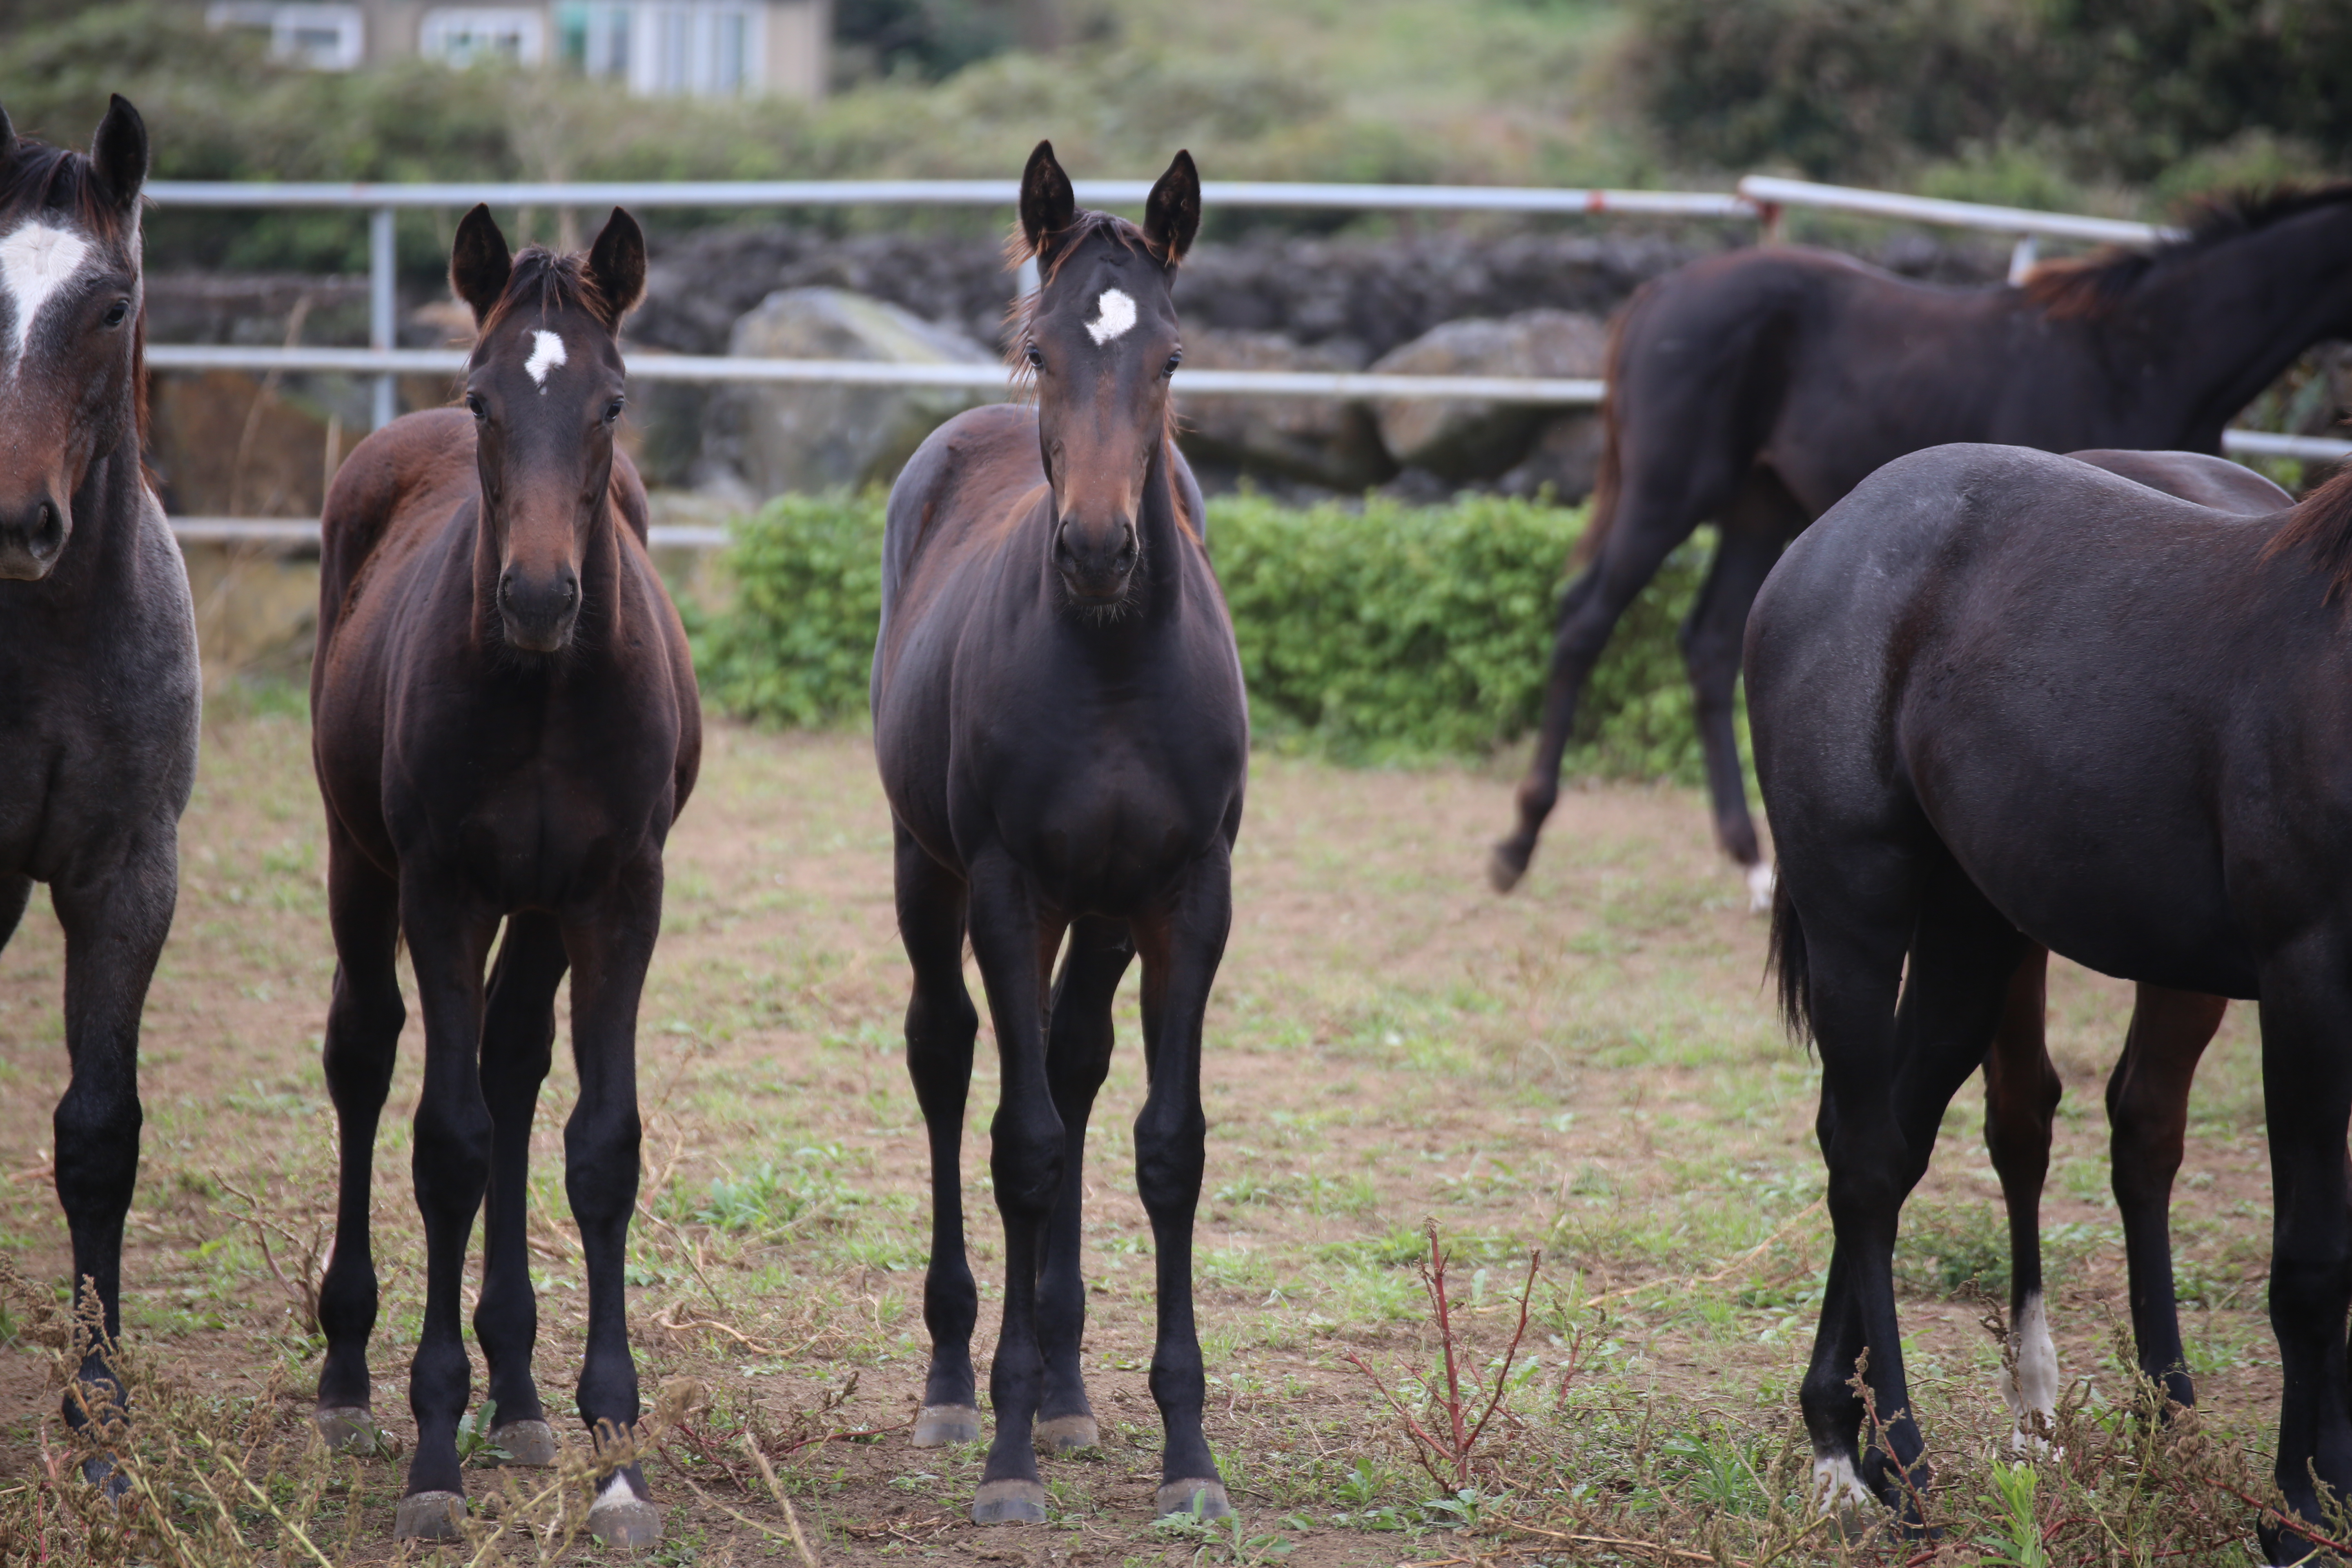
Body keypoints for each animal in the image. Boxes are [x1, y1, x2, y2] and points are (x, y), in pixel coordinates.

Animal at [303, 205, 691, 1542]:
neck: (542, 690)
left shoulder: (619, 895)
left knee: (518, 1067)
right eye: (483, 399)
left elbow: (599, 1142)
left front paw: (619, 1458)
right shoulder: (444, 890)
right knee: (365, 1054)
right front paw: (433, 1457)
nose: (535, 595)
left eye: (612, 402)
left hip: (541, 910)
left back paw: (520, 1392)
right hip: (359, 862)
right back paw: (346, 1374)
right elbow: (448, 1143)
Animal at [875, 144, 1251, 1523]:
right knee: (949, 1060)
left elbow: (1166, 1147)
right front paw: (1006, 1453)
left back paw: (1073, 1383)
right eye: (1041, 351)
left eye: (1172, 356)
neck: (1111, 671)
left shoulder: (1189, 896)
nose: (1097, 547)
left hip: (1101, 914)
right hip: (930, 874)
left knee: (1077, 1061)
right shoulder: (1006, 887)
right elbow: (1022, 1144)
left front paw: (1188, 1455)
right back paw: (956, 1381)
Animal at [1486, 188, 2352, 902]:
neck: (2140, 356)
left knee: (1707, 642)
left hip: (1759, 509)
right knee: (1585, 622)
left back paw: (1752, 860)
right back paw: (1519, 842)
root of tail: (1660, 292)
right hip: (1669, 496)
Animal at [1750, 439, 2352, 1561]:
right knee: (1866, 1162)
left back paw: (1850, 1434)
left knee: (1908, 1138)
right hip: (1857, 909)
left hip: (1972, 935)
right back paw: (1888, 1467)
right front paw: (2306, 1511)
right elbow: (2310, 1266)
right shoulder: (2308, 978)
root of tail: (1832, 528)